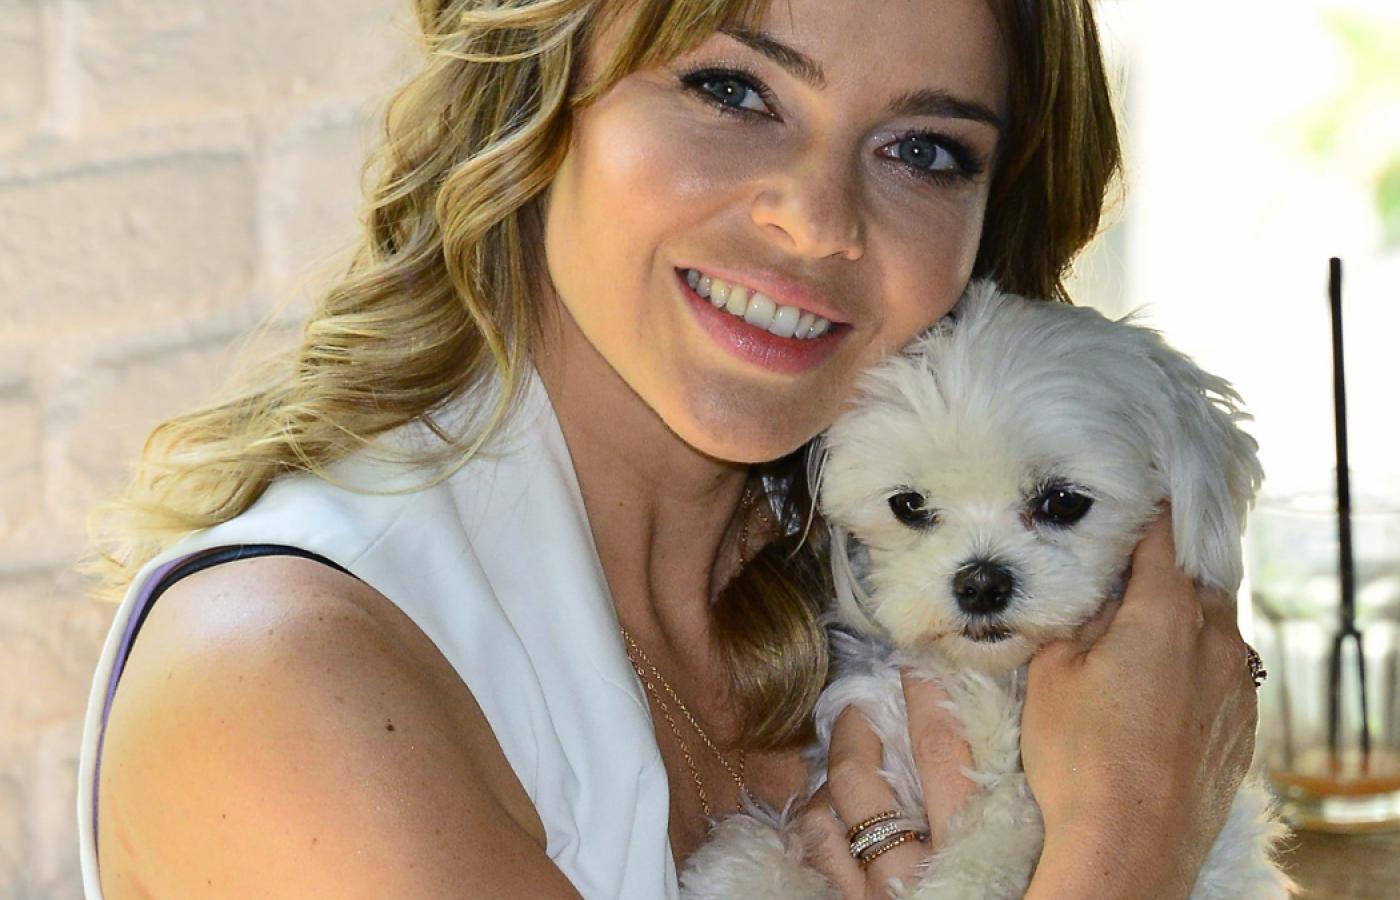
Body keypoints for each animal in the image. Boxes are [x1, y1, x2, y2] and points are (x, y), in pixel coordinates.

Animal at [679, 280, 1296, 899]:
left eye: (1063, 501)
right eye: (908, 505)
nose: (980, 584)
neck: (986, 681)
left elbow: (1007, 818)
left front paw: (963, 875)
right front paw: (741, 871)